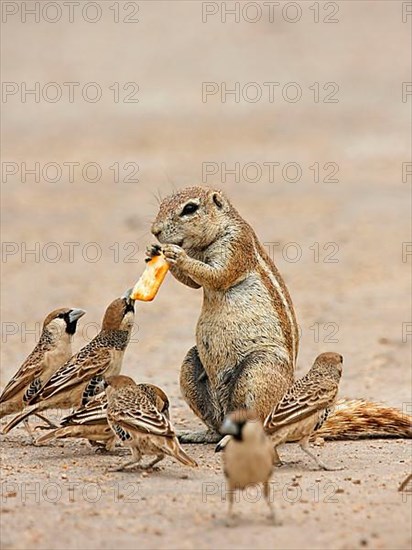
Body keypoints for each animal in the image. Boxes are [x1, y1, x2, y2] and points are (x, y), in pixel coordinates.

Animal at [152, 185, 412, 444]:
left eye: (190, 208)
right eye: (161, 204)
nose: (155, 231)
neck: (214, 235)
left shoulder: (237, 247)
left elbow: (217, 275)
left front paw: (176, 255)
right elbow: (193, 283)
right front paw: (155, 251)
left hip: (259, 371)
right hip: (191, 368)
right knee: (216, 424)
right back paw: (198, 434)